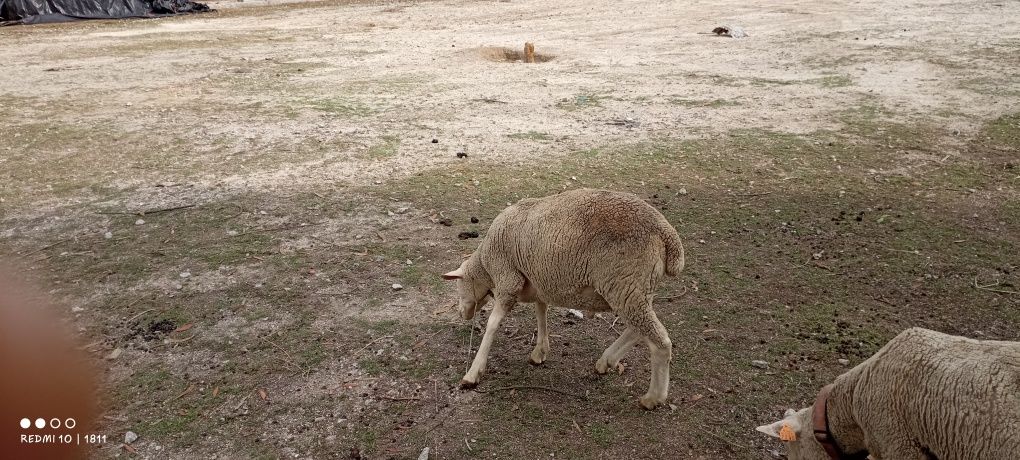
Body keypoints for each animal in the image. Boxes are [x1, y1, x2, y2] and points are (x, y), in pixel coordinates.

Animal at [440, 188, 685, 410]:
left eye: (459, 287)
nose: (462, 314)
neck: (485, 264)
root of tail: (668, 236)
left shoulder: (508, 279)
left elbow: (492, 324)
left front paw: (473, 373)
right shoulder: (539, 281)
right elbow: (541, 313)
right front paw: (540, 352)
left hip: (625, 286)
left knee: (660, 342)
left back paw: (652, 398)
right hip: (633, 289)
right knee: (637, 329)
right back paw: (606, 361)